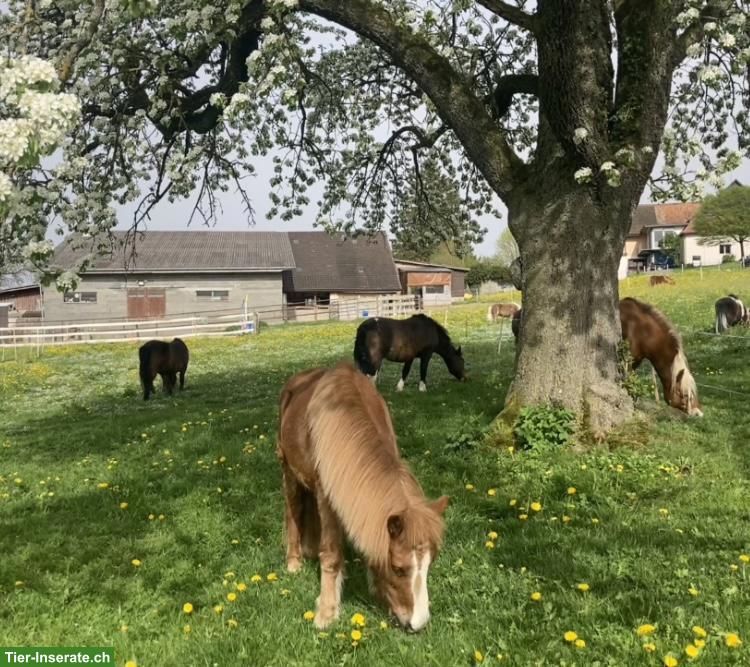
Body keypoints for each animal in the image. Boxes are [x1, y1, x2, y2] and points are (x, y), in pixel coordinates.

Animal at [277, 363, 449, 631]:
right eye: (398, 568)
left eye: (430, 563)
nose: (418, 624)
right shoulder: (327, 497)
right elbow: (331, 554)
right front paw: (326, 613)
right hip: (289, 472)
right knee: (293, 511)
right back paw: (294, 562)